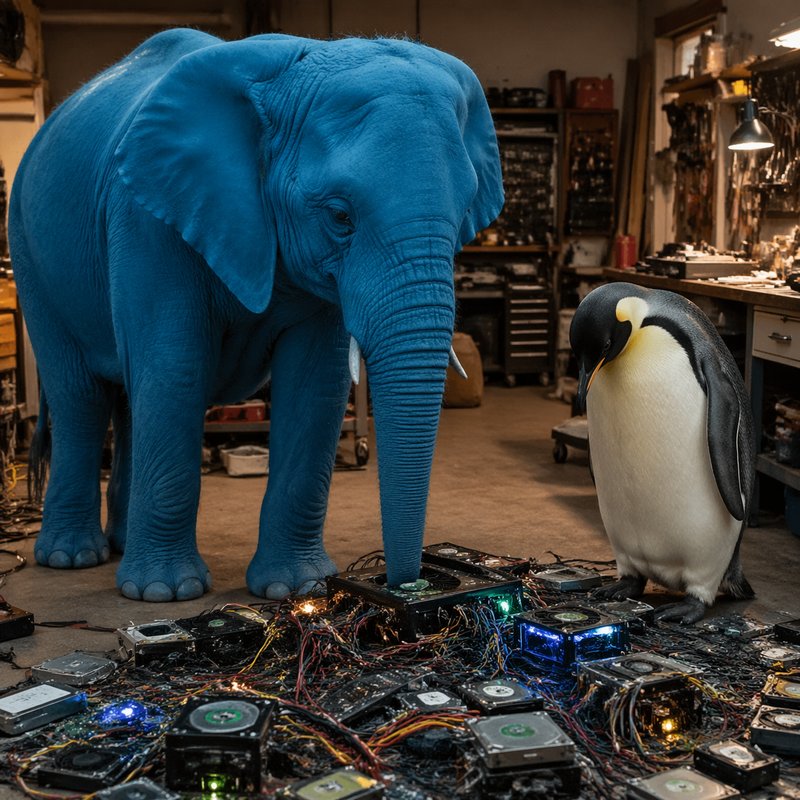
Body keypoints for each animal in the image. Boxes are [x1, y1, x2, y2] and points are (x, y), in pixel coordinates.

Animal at [8, 29, 503, 601]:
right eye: (339, 217)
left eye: (465, 214)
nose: (405, 584)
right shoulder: (145, 217)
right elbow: (175, 370)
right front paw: (167, 594)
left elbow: (315, 382)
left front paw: (298, 588)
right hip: (29, 254)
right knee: (82, 396)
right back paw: (72, 558)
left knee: (130, 400)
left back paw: (118, 545)